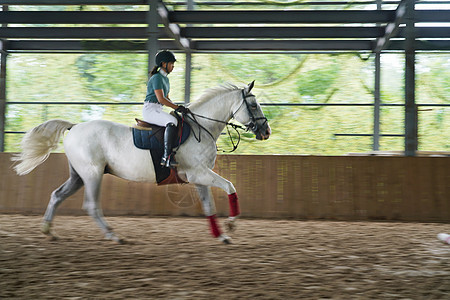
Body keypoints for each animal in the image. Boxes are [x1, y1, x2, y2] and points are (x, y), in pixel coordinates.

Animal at [12, 82, 270, 244]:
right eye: (253, 105)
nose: (266, 131)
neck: (202, 127)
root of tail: (74, 127)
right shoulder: (199, 173)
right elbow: (230, 187)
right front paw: (232, 226)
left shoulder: (200, 177)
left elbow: (209, 207)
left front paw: (221, 236)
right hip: (92, 174)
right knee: (91, 205)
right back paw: (114, 236)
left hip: (78, 176)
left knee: (57, 195)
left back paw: (49, 231)